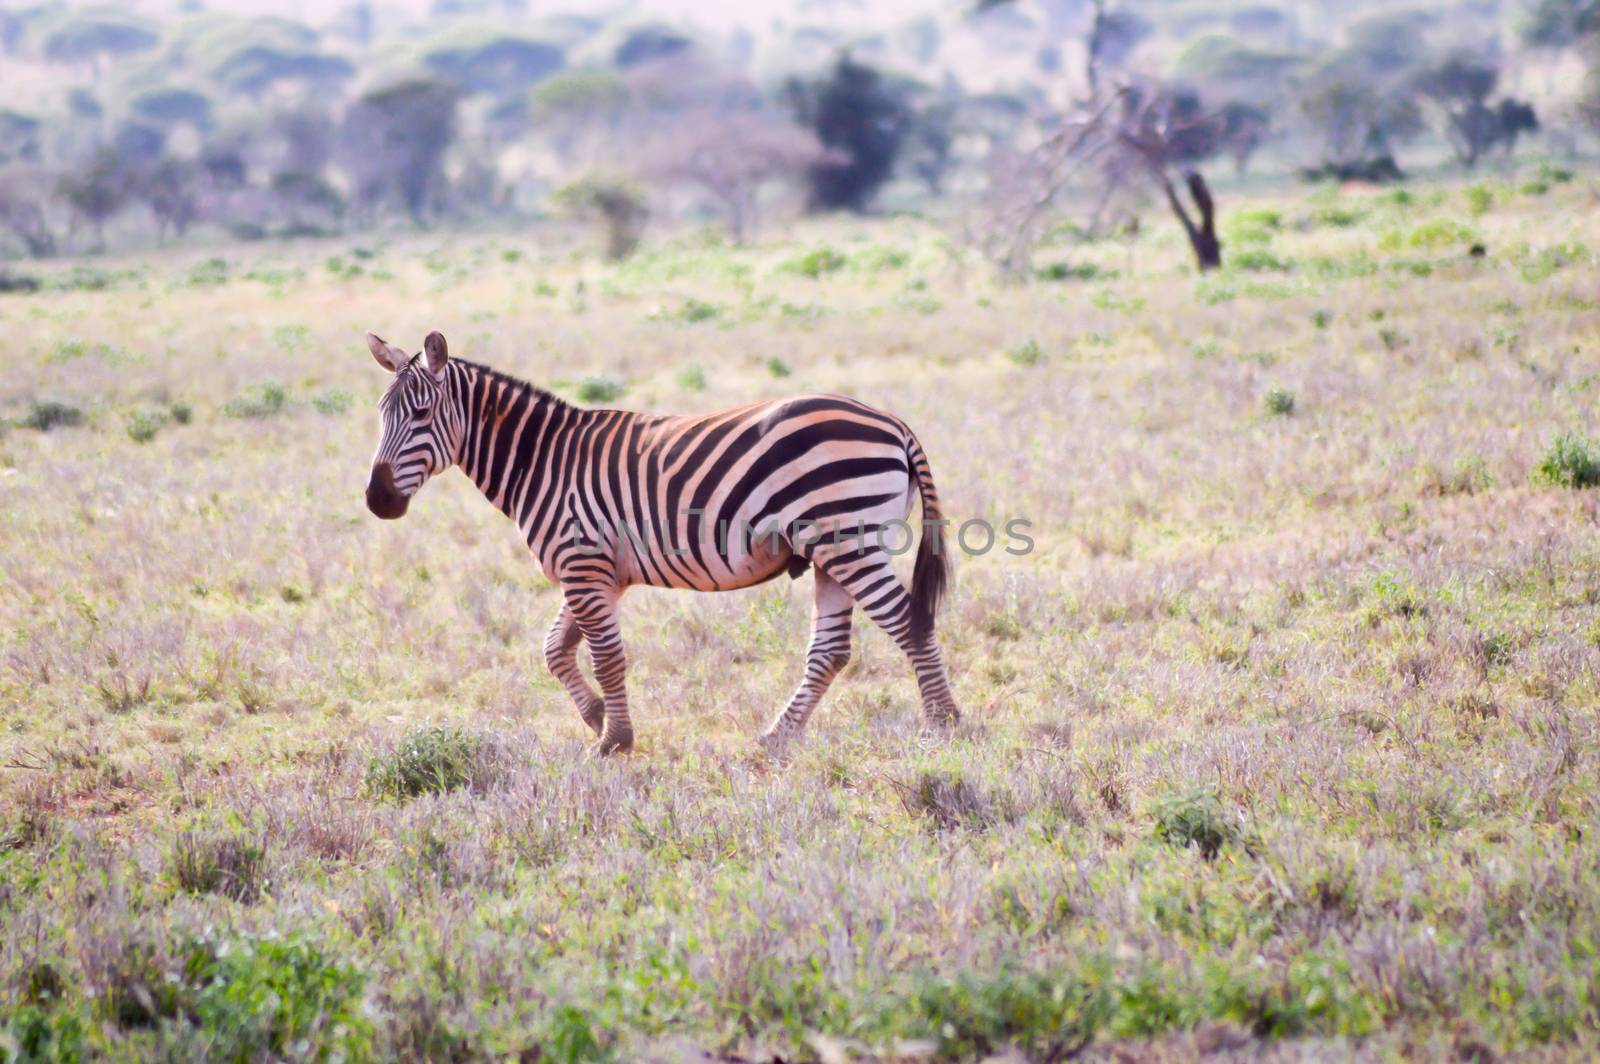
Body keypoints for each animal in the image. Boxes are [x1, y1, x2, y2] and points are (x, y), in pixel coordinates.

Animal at [363, 332, 953, 755]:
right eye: (380, 415)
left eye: (420, 415)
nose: (377, 500)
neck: (543, 460)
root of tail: (894, 423)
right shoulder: (598, 573)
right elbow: (555, 651)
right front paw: (599, 717)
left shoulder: (584, 564)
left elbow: (606, 657)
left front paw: (613, 741)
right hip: (832, 553)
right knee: (831, 650)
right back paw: (778, 736)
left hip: (849, 542)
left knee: (909, 622)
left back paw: (943, 726)